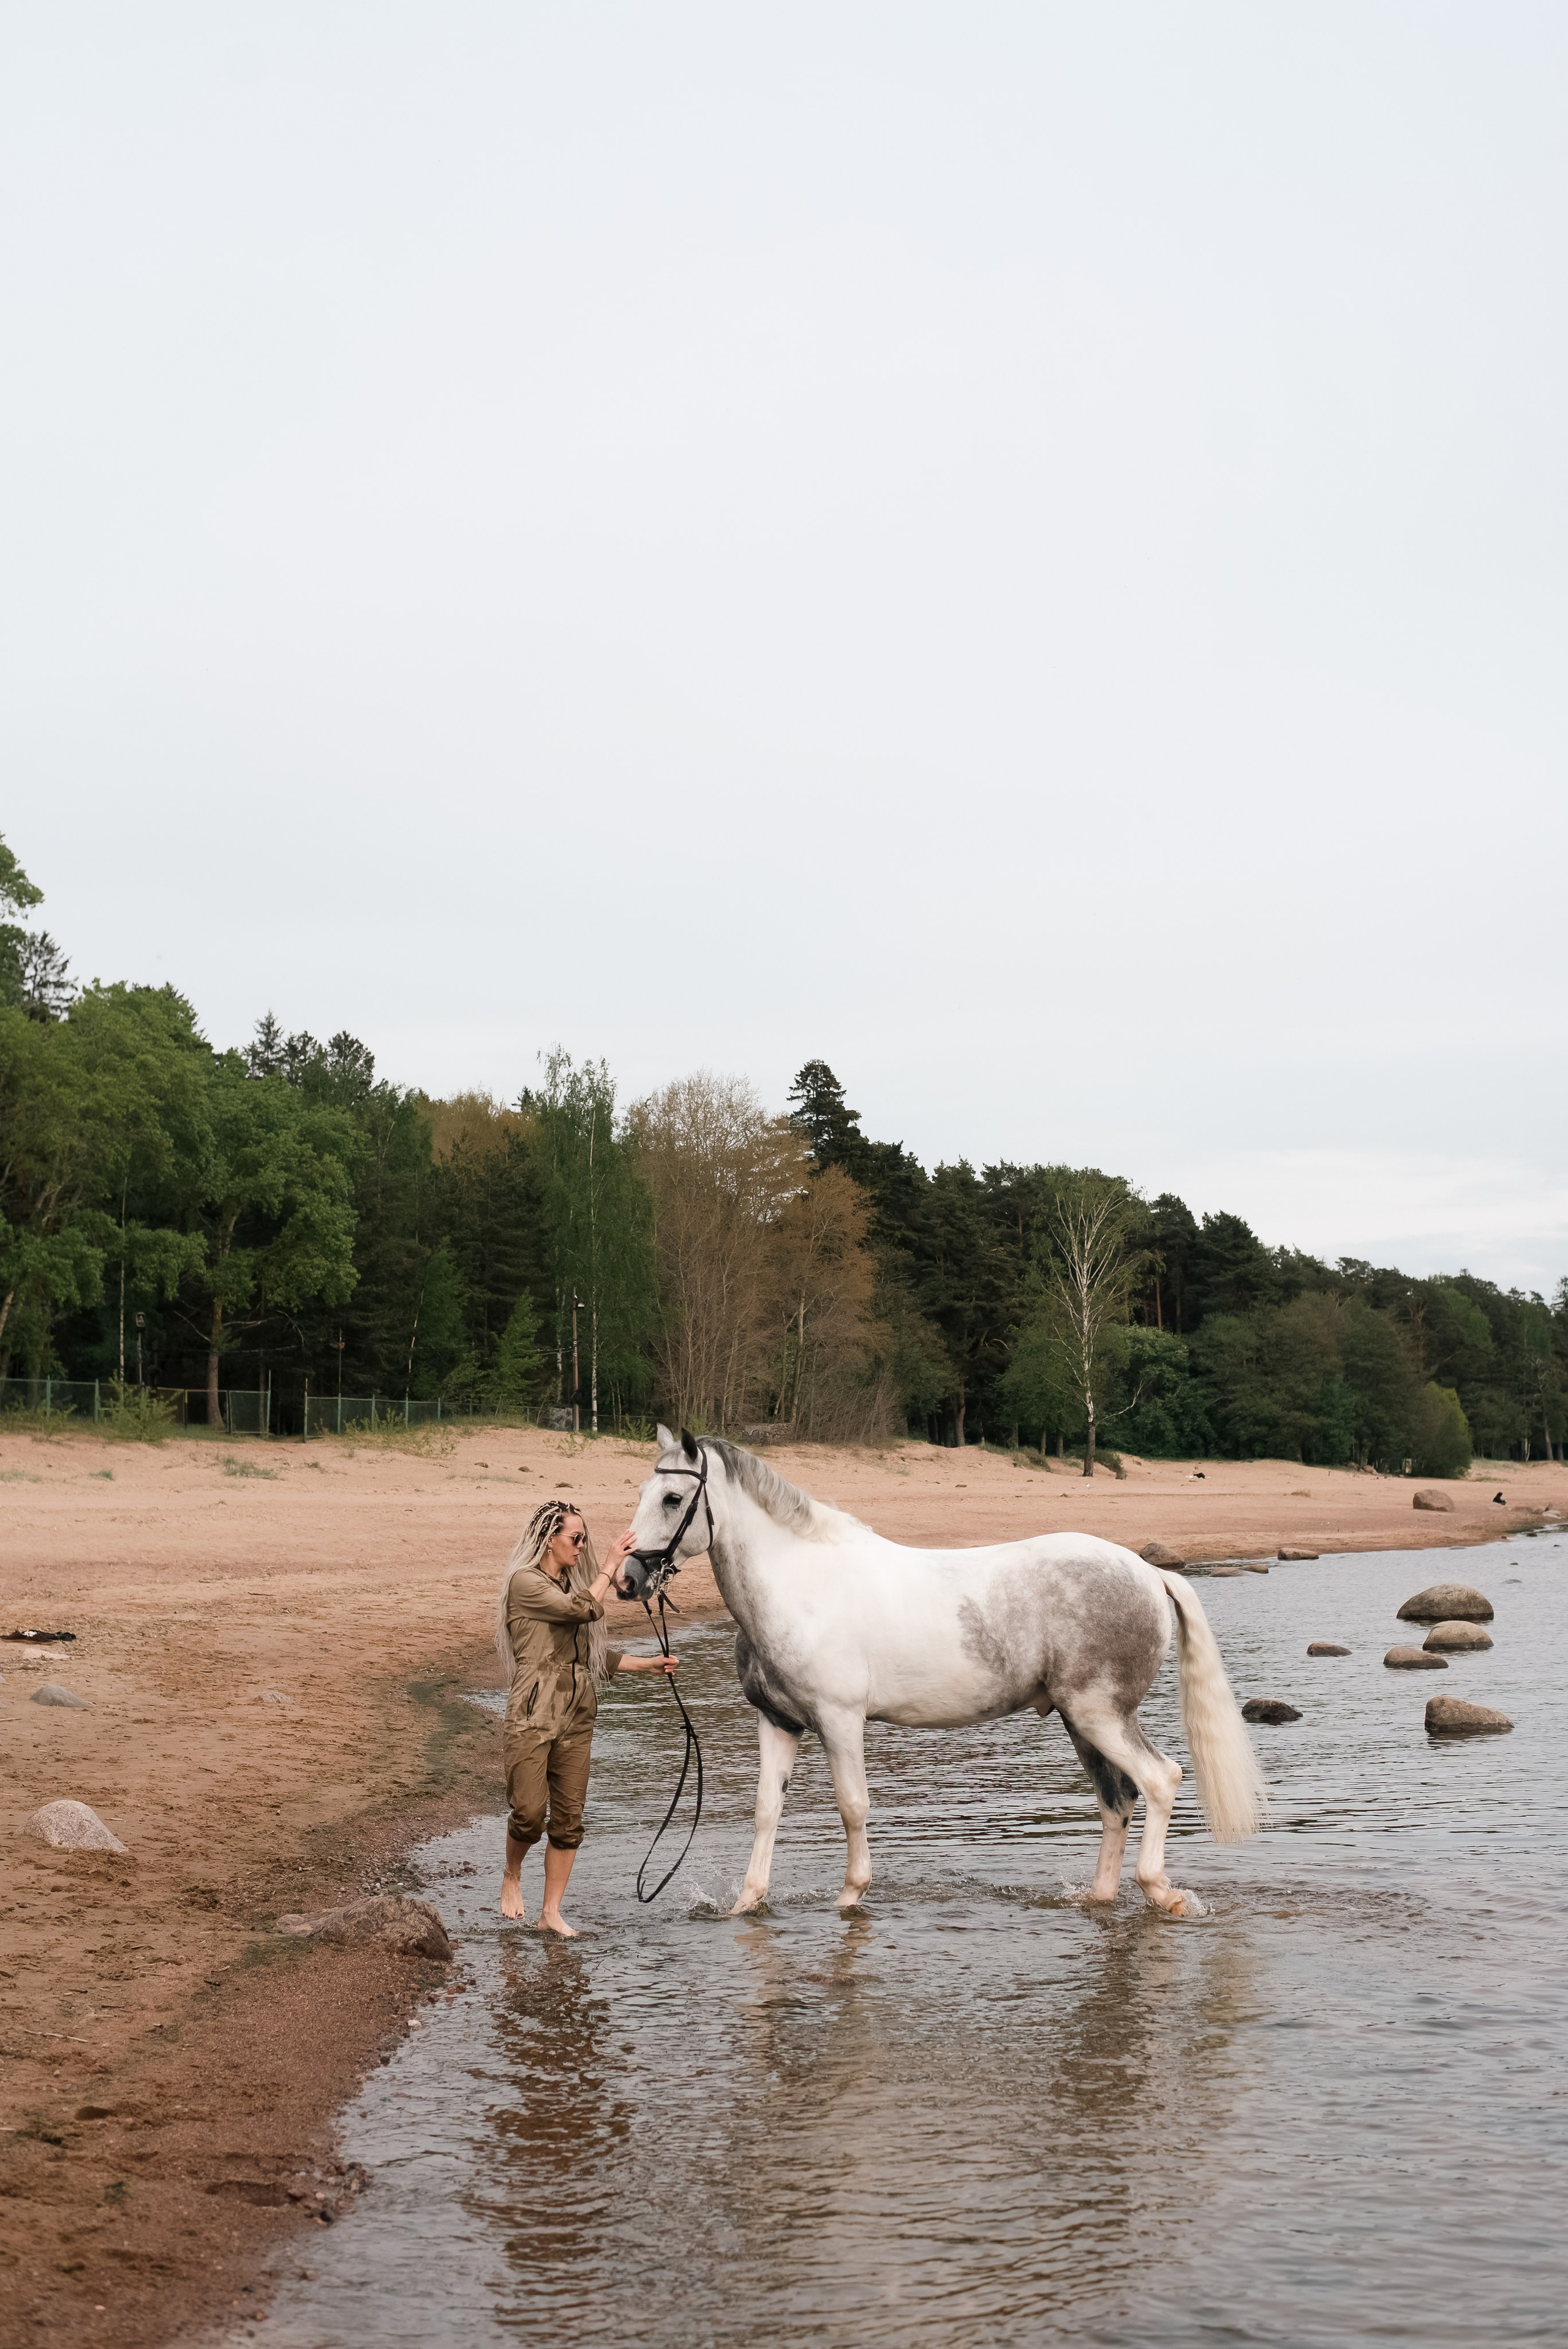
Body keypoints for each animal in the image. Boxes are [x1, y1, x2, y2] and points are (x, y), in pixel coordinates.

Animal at [618, 1428, 1267, 1919]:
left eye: (672, 1498)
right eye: (644, 1491)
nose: (627, 1579)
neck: (799, 1584)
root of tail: (1148, 1570)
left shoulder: (840, 1721)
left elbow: (853, 1806)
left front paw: (851, 1897)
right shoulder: (779, 1722)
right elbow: (766, 1810)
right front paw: (748, 1903)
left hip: (1100, 1716)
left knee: (1160, 1780)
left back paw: (1162, 1891)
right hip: (1082, 1723)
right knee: (1117, 1801)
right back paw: (1099, 1898)